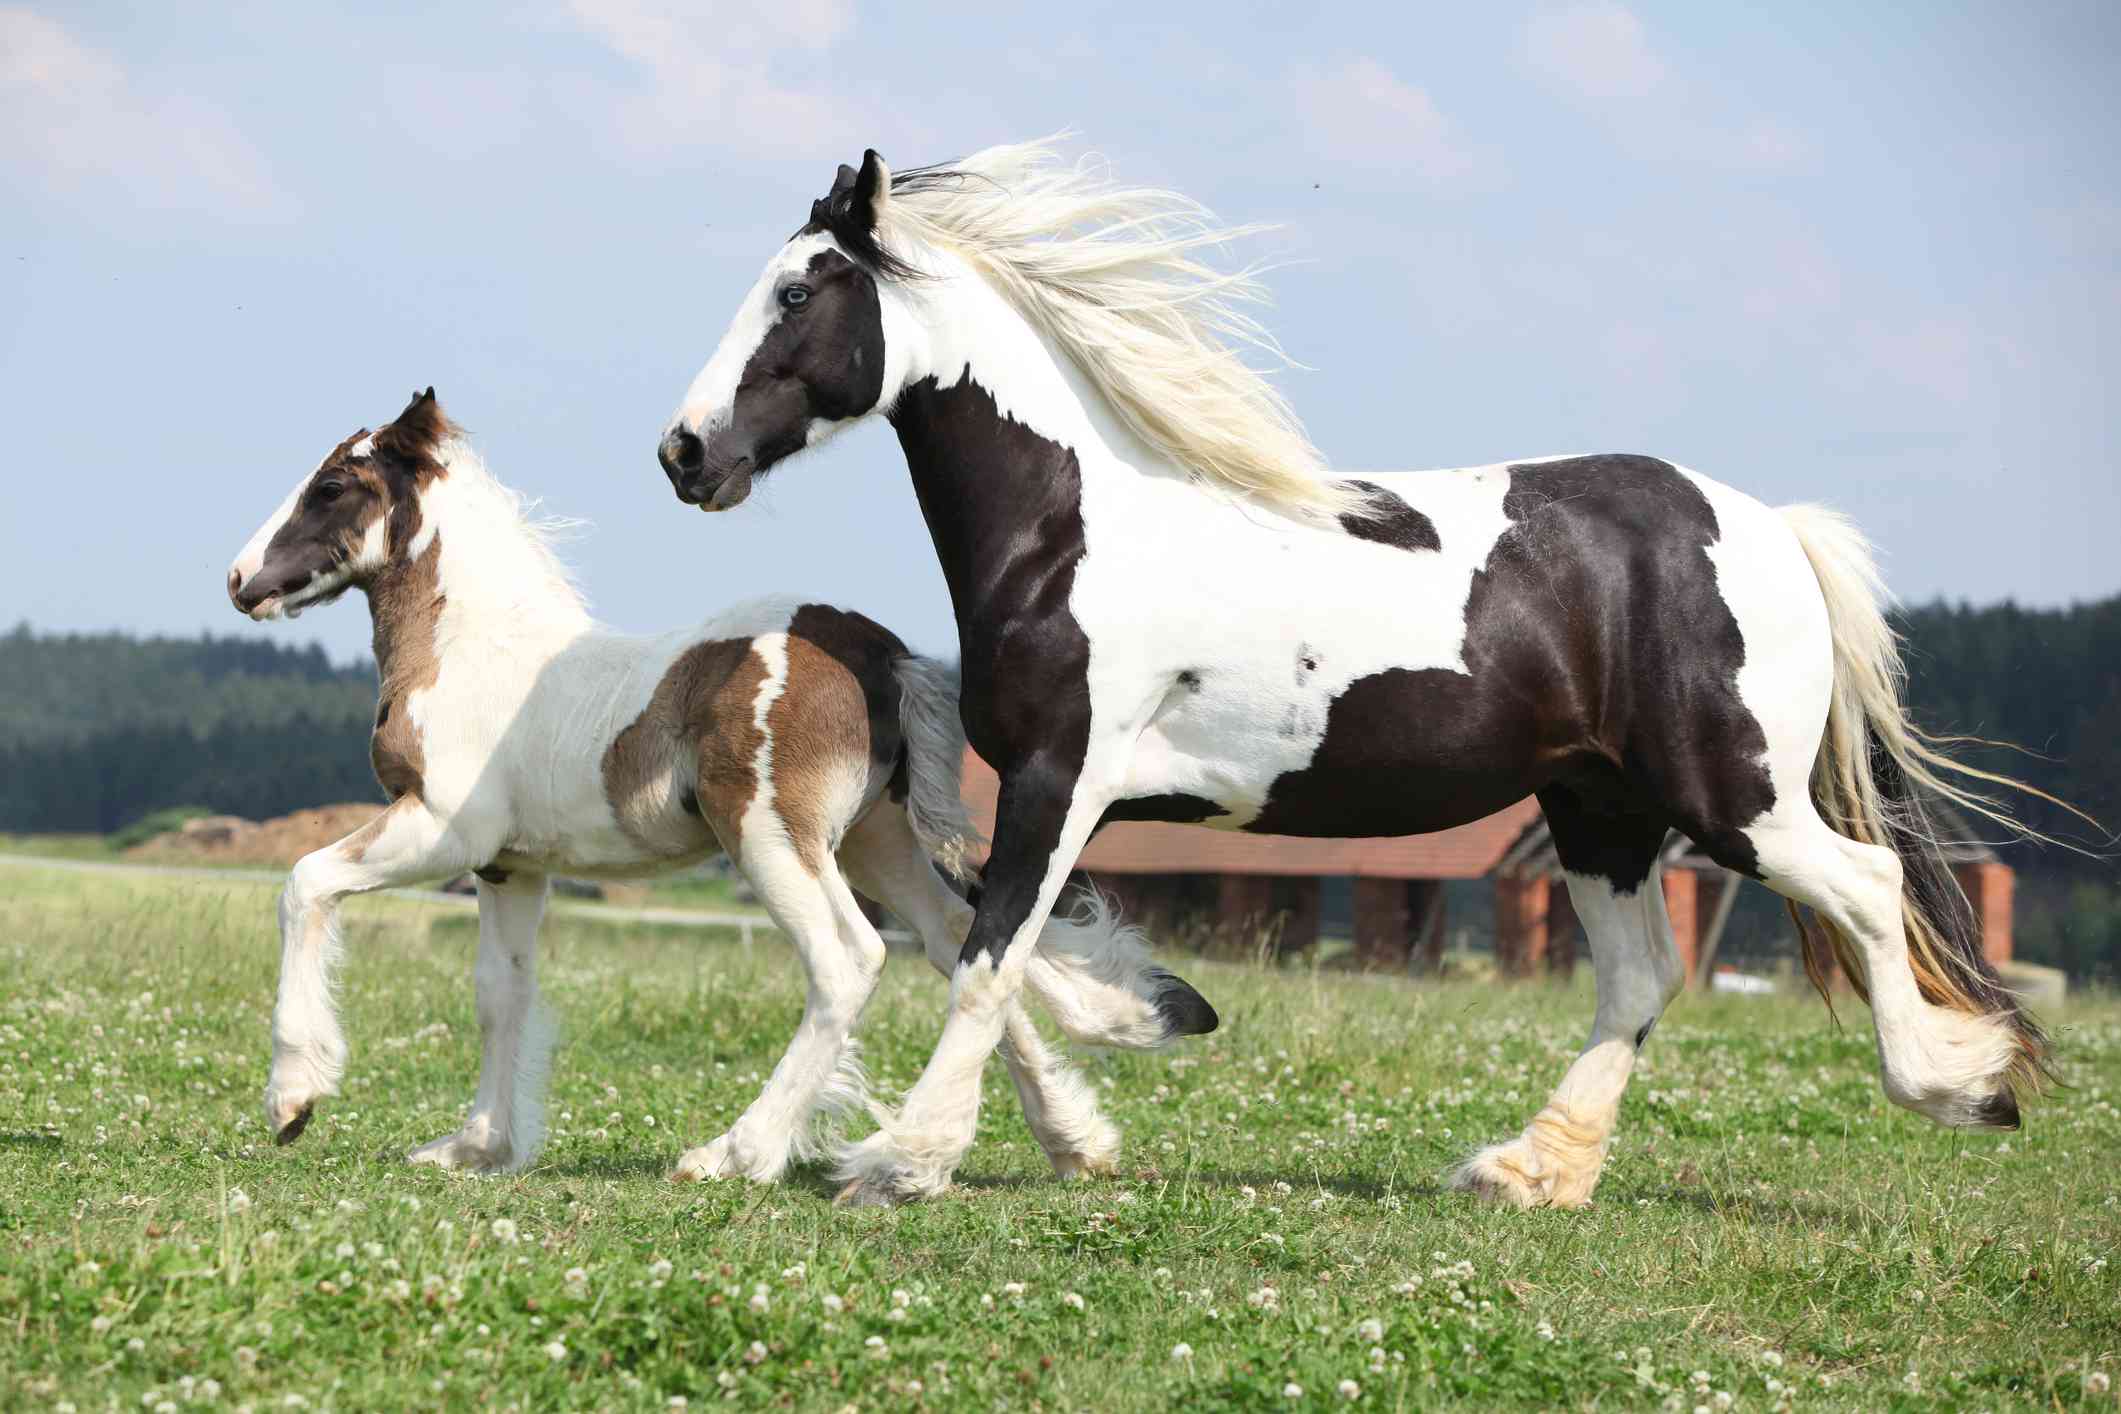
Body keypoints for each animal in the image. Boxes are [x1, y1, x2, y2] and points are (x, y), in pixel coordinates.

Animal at [230, 390, 1213, 1187]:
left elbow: (304, 884)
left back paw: (735, 1154)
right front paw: (476, 1147)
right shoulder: (512, 867)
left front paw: (295, 1097)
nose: (240, 580)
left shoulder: (440, 830)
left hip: (771, 836)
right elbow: (499, 994)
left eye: (331, 485)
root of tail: (880, 652)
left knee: (850, 959)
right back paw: (1069, 1142)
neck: (475, 651)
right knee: (963, 940)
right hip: (876, 840)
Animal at [657, 140, 2053, 1204]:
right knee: (1642, 977)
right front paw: (1133, 1032)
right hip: (1600, 808)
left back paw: (1962, 1085)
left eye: (798, 294)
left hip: (1732, 797)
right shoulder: (1051, 795)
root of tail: (1774, 529)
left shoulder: (1064, 779)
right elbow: (992, 950)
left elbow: (989, 959)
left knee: (1870, 888)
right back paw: (1529, 1171)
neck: (1073, 527)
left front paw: (900, 1160)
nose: (684, 451)